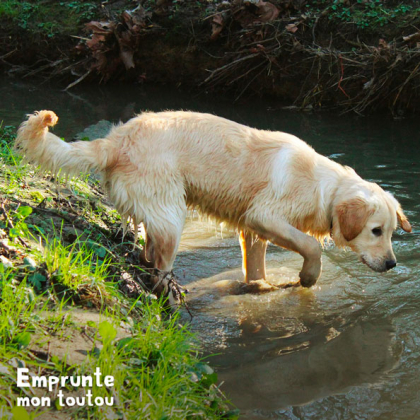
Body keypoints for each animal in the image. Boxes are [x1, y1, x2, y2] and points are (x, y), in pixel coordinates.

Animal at [14, 110, 412, 298]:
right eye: (376, 231)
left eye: (392, 232)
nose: (392, 264)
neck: (323, 187)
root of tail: (114, 139)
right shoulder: (264, 215)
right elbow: (311, 245)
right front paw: (308, 276)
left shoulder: (253, 231)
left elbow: (256, 271)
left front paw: (260, 289)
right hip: (172, 215)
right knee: (160, 267)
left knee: (147, 253)